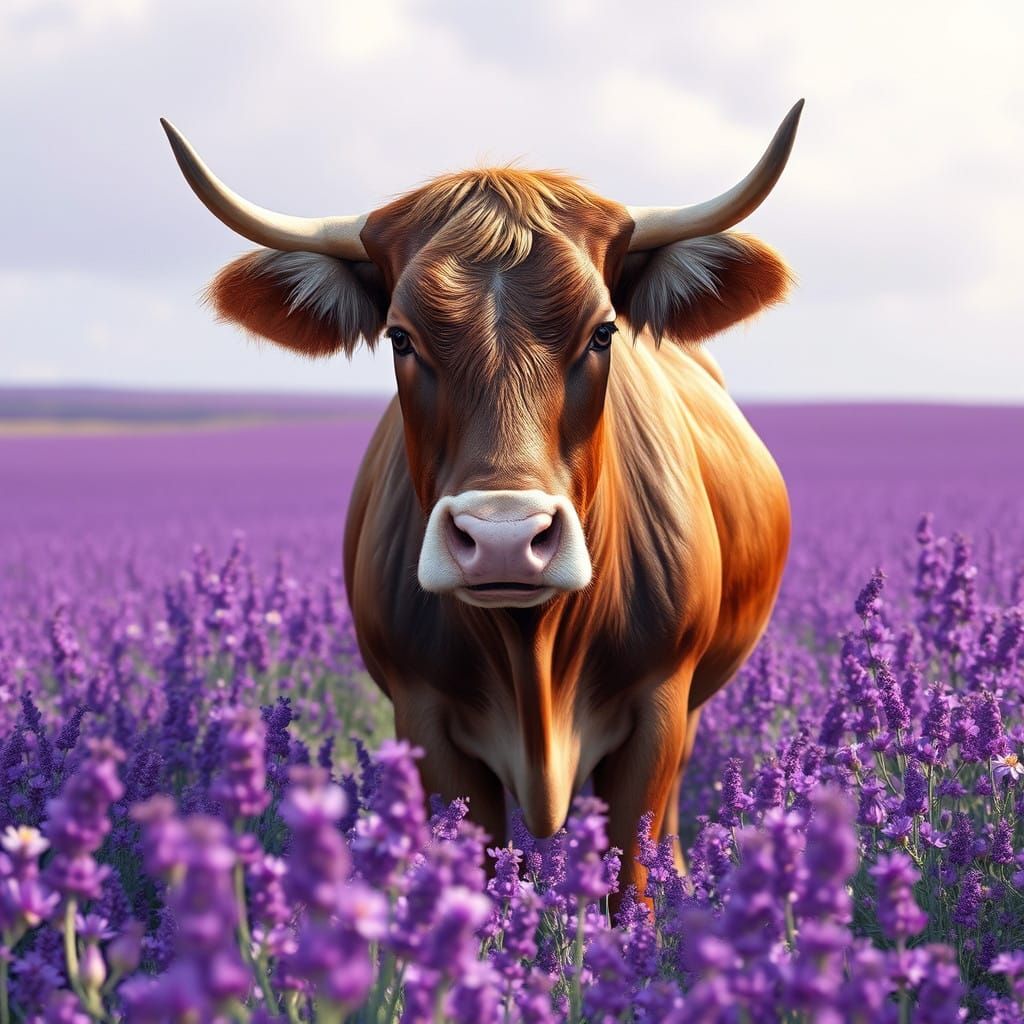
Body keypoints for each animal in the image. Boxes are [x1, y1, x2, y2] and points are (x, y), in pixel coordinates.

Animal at [162, 101, 801, 898]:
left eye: (603, 332)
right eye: (400, 338)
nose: (502, 540)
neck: (534, 654)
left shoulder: (658, 711)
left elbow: (632, 880)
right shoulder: (426, 722)